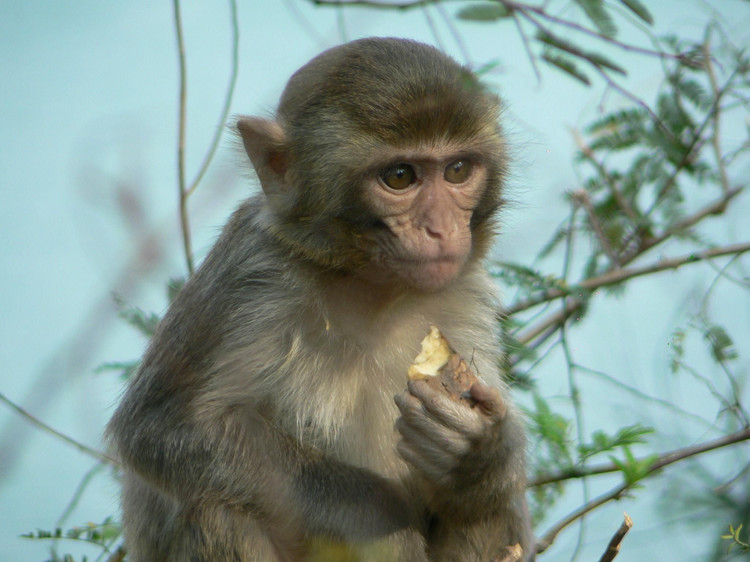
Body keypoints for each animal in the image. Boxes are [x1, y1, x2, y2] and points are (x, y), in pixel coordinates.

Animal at [108, 37, 536, 556]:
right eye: (399, 176)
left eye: (457, 169)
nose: (440, 228)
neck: (373, 290)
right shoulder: (249, 276)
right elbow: (160, 428)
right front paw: (382, 509)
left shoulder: (466, 293)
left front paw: (478, 458)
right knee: (213, 505)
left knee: (486, 510)